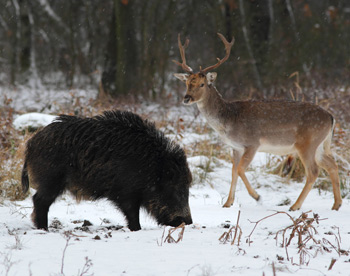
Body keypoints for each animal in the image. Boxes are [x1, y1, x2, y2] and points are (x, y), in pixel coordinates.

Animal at [173, 32, 342, 211]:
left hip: (307, 143)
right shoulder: (235, 147)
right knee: (332, 164)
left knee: (313, 171)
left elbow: (240, 169)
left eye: (202, 84)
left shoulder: (252, 142)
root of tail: (331, 117)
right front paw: (227, 203)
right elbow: (233, 171)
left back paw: (295, 206)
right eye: (187, 83)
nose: (186, 98)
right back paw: (336, 204)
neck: (229, 119)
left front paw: (257, 197)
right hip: (319, 145)